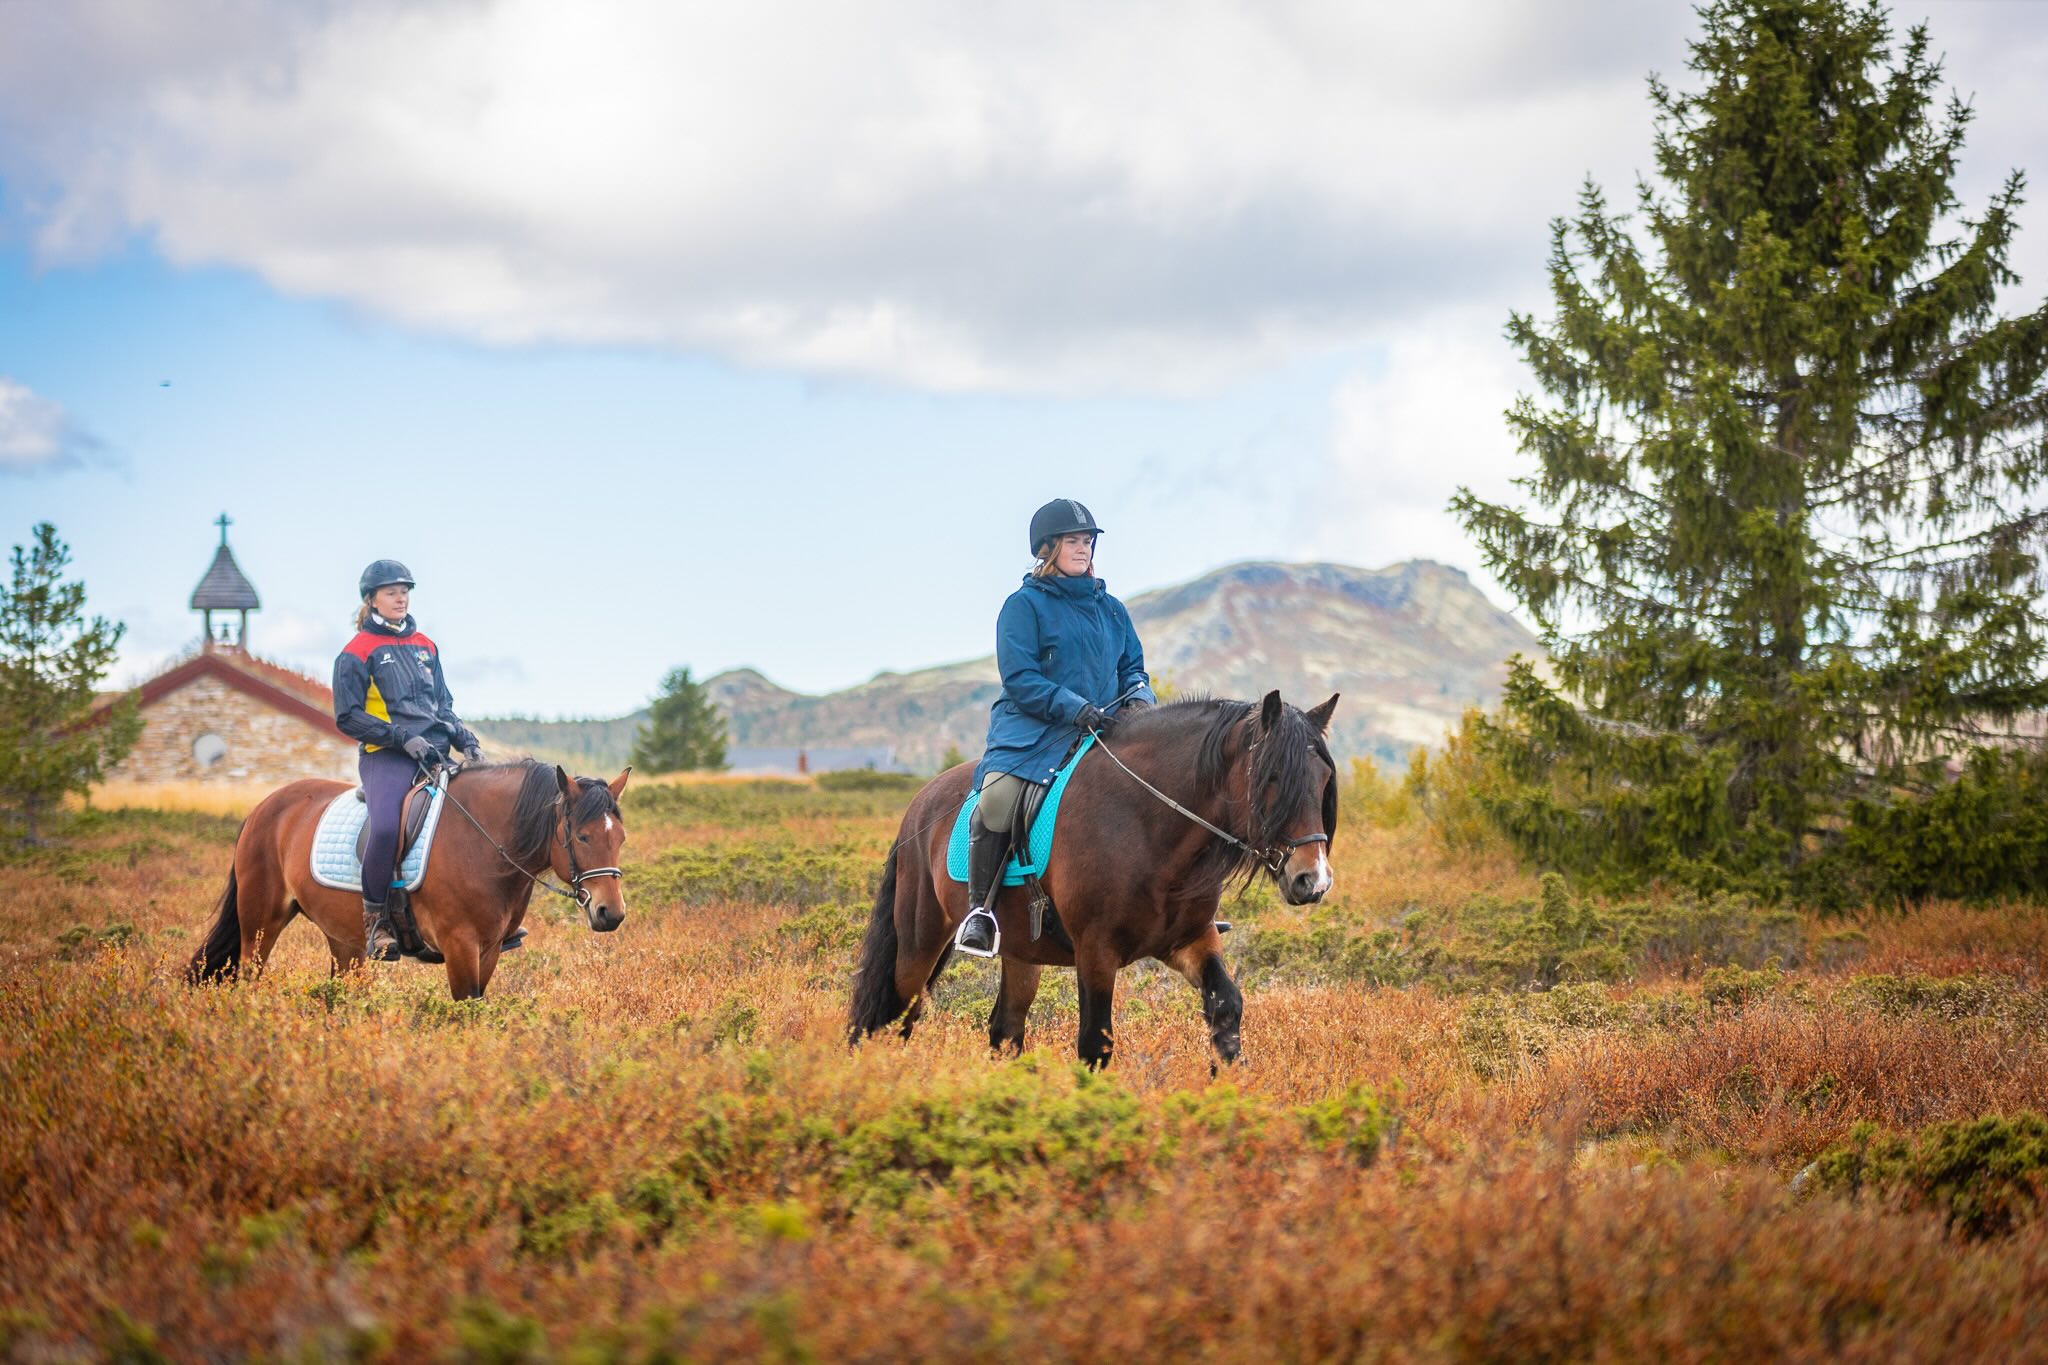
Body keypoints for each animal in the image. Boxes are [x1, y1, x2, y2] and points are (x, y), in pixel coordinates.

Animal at [188, 760, 630, 999]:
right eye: (582, 836)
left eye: (621, 838)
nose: (611, 914)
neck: (482, 842)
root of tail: (264, 807)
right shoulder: (459, 945)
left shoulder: (489, 950)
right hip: (261, 922)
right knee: (250, 975)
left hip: (344, 939)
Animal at [849, 690, 1339, 1069]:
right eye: (1273, 777)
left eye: (1323, 780)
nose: (1311, 880)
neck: (1148, 824)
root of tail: (920, 804)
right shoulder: (1096, 950)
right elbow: (1095, 1041)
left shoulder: (1189, 940)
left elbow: (1226, 1008)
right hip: (919, 945)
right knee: (890, 1018)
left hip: (1021, 952)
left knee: (1004, 1030)